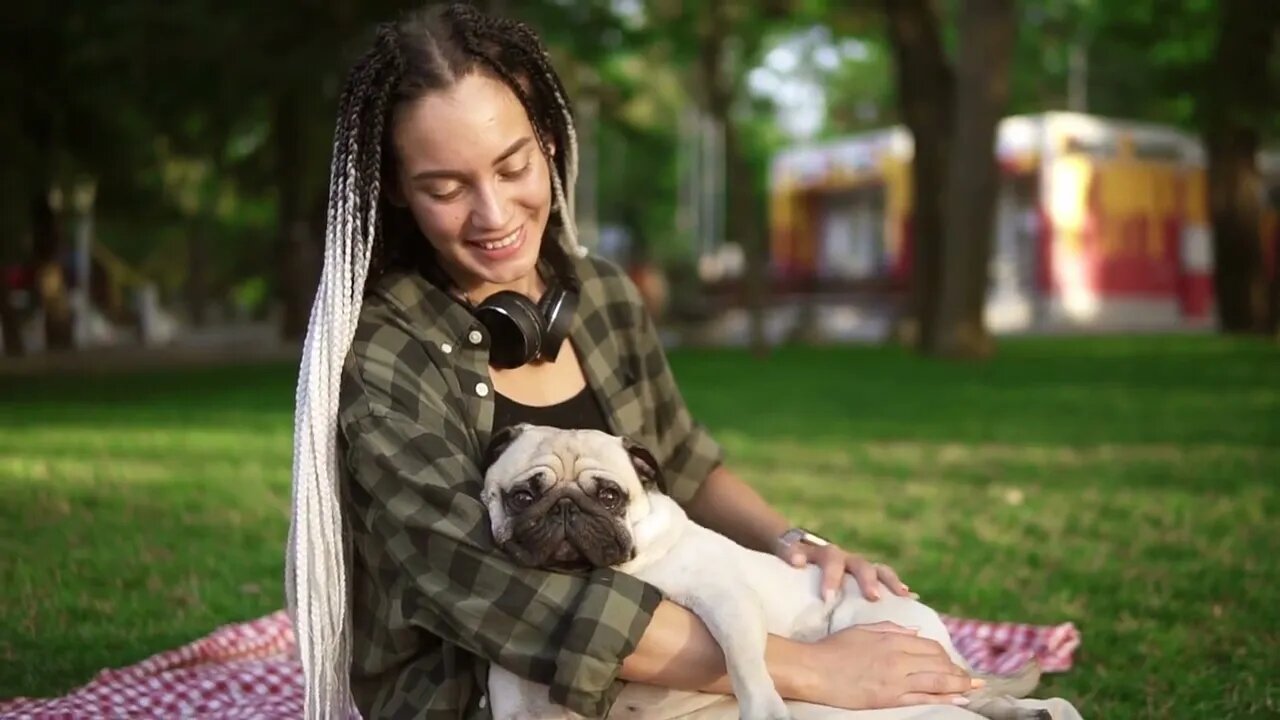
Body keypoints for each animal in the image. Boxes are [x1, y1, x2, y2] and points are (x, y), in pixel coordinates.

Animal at [478, 422, 1049, 717]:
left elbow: (744, 662)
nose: (565, 509)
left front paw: (764, 709)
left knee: (972, 694)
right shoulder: (513, 679)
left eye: (609, 496)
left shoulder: (726, 603)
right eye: (523, 496)